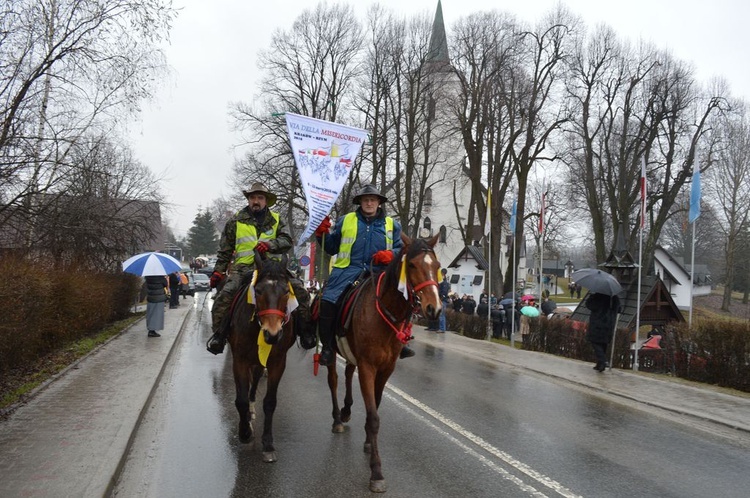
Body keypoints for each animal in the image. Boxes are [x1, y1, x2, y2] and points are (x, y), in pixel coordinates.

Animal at [229, 253, 296, 462]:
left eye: (286, 291)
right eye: (258, 291)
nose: (272, 335)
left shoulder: (277, 363)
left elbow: (269, 401)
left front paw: (267, 444)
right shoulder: (239, 361)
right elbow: (240, 400)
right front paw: (245, 433)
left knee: (256, 381)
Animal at [324, 235, 444, 492]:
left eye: (437, 266)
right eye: (412, 265)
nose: (434, 308)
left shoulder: (386, 369)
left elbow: (375, 407)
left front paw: (369, 443)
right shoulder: (368, 367)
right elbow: (373, 417)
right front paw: (376, 471)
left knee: (348, 374)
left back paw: (346, 411)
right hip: (333, 354)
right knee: (334, 381)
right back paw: (338, 418)